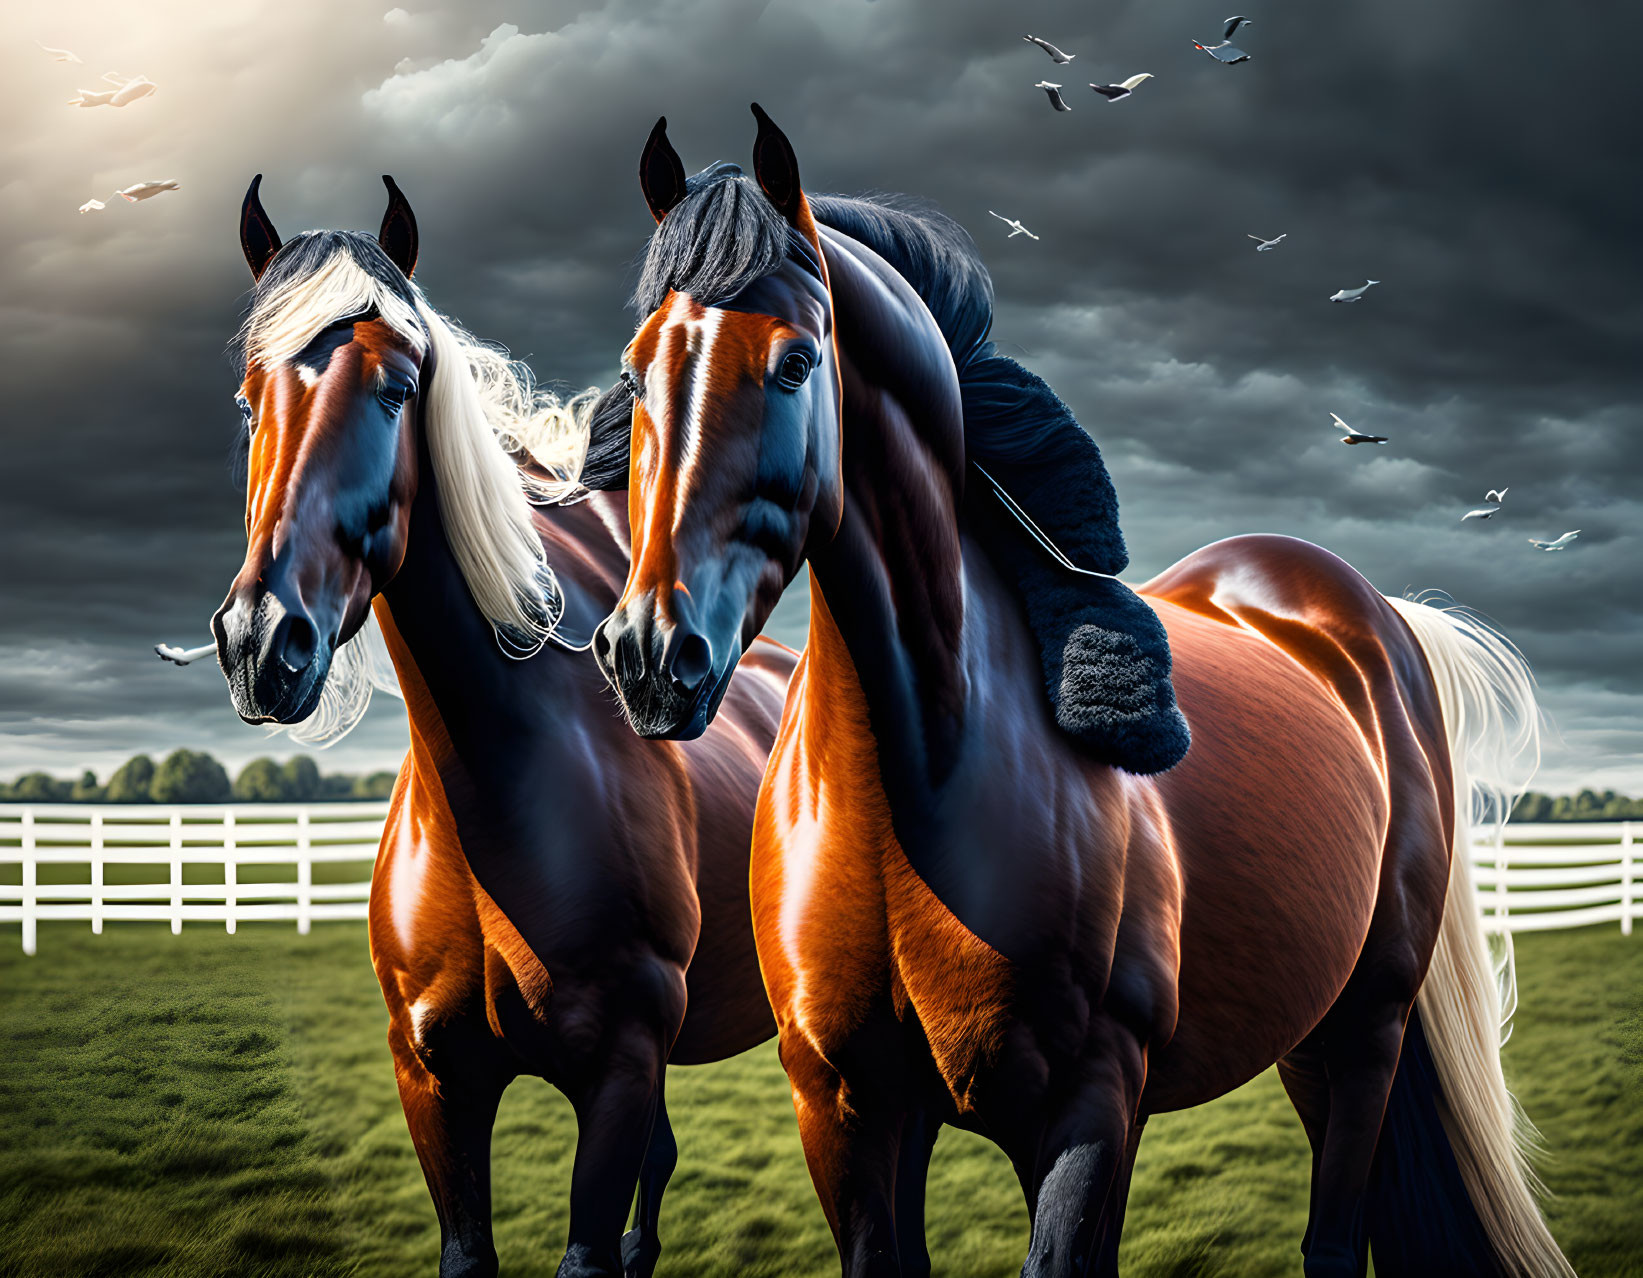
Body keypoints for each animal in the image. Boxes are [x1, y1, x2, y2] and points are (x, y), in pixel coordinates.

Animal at [598, 109, 1570, 1274]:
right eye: (636, 372)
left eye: (793, 363)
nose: (651, 654)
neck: (919, 784)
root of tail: (1367, 616)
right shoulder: (847, 1107)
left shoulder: (1082, 1107)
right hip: (1304, 1033)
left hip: (1366, 1029)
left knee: (1335, 1239)